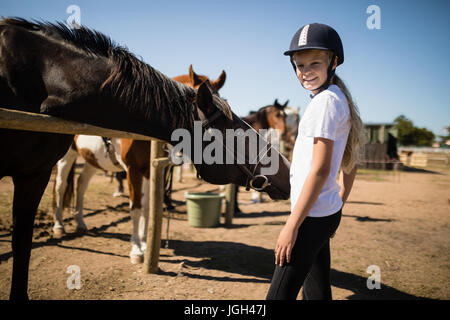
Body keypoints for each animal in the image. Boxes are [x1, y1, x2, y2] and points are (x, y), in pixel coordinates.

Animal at [0, 18, 290, 300]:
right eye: (236, 134)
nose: (287, 170)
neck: (49, 76)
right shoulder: (130, 170)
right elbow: (136, 207)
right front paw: (137, 251)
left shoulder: (149, 171)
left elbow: (149, 207)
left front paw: (143, 242)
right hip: (65, 159)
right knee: (61, 187)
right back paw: (60, 226)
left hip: (92, 161)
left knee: (81, 185)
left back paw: (81, 222)